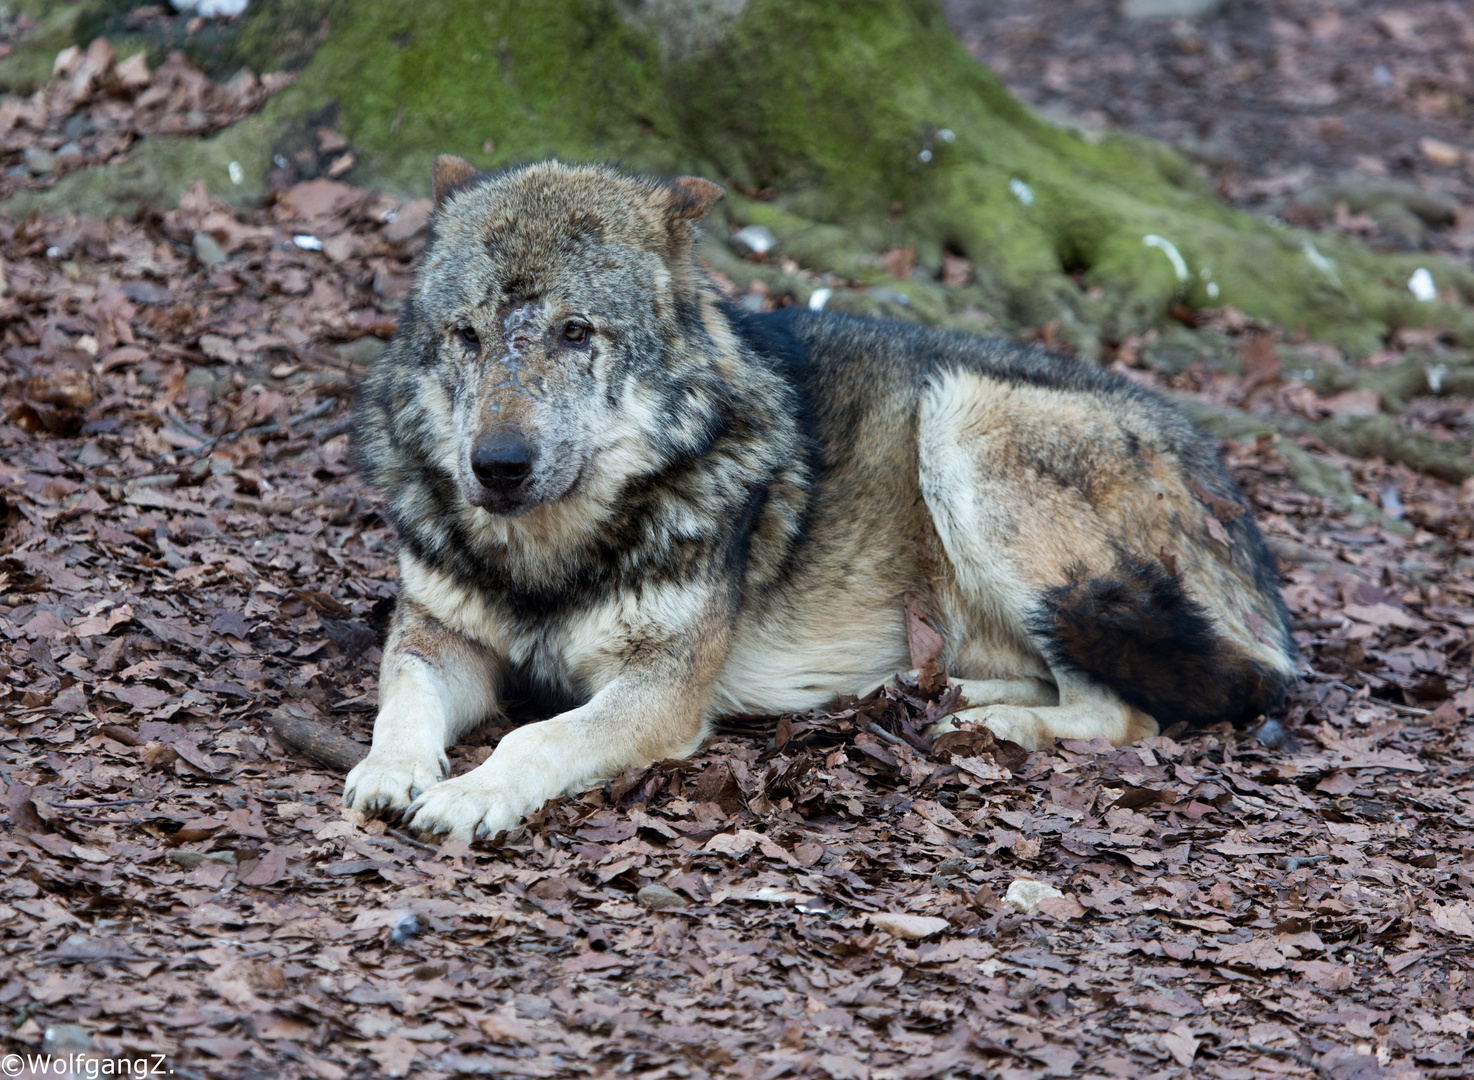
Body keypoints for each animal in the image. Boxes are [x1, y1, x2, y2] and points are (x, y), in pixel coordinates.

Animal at [341, 156, 1291, 836]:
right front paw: (391, 773)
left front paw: (473, 795)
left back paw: (985, 724)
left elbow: (537, 733)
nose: (496, 465)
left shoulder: (662, 687)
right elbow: (402, 701)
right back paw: (934, 695)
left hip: (963, 423)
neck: (550, 561)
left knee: (1130, 713)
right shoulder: (441, 636)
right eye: (466, 336)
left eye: (576, 333)